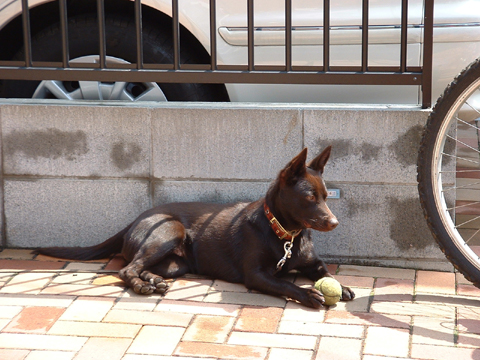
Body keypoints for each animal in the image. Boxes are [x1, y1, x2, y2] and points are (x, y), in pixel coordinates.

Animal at [35, 148, 354, 308]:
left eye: (327, 196)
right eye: (310, 198)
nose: (335, 222)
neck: (286, 235)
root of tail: (135, 220)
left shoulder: (313, 263)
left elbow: (326, 273)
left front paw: (344, 286)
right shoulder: (256, 275)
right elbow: (286, 283)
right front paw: (310, 294)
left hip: (178, 264)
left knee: (142, 267)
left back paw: (153, 281)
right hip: (169, 231)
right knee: (126, 269)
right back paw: (141, 286)